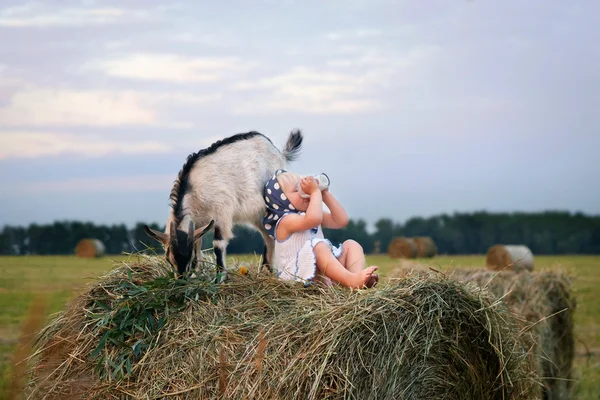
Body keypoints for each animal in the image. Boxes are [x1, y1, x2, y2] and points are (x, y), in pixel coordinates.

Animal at [144, 130, 302, 280]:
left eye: (187, 259)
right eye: (168, 259)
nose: (181, 279)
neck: (193, 187)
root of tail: (280, 153)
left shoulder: (221, 212)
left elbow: (218, 244)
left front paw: (220, 278)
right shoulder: (198, 222)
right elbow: (197, 245)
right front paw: (196, 274)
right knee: (267, 236)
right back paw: (267, 270)